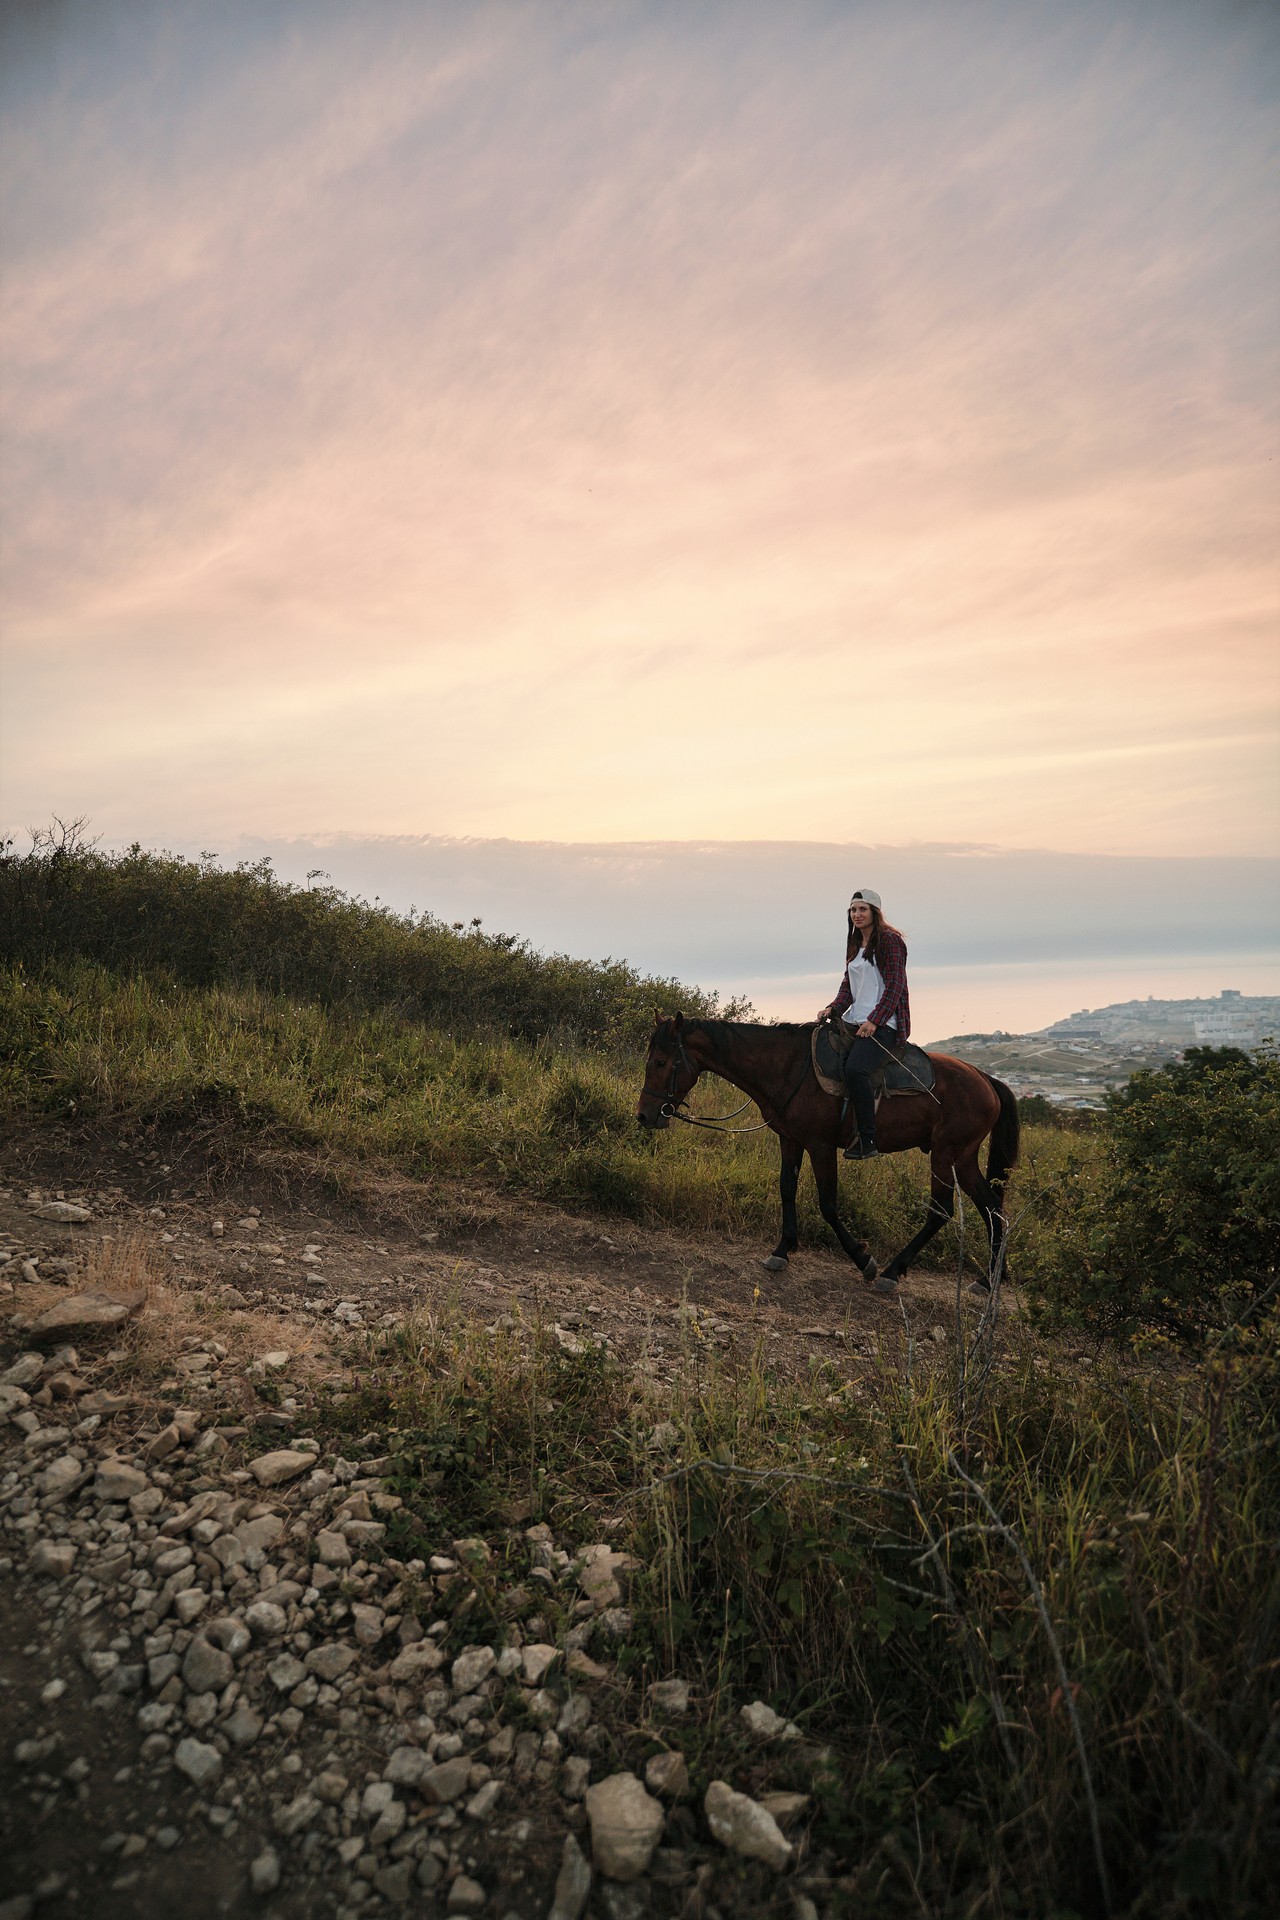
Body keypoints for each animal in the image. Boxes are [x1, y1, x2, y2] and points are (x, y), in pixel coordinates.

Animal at [637, 1013, 1020, 1297]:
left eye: (661, 1061)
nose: (645, 1115)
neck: (789, 1068)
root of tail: (986, 1079)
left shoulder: (820, 1146)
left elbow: (828, 1204)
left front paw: (863, 1259)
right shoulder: (790, 1140)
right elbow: (787, 1189)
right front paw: (782, 1250)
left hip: (944, 1154)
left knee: (941, 1211)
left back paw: (892, 1271)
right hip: (962, 1158)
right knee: (992, 1209)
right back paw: (988, 1279)